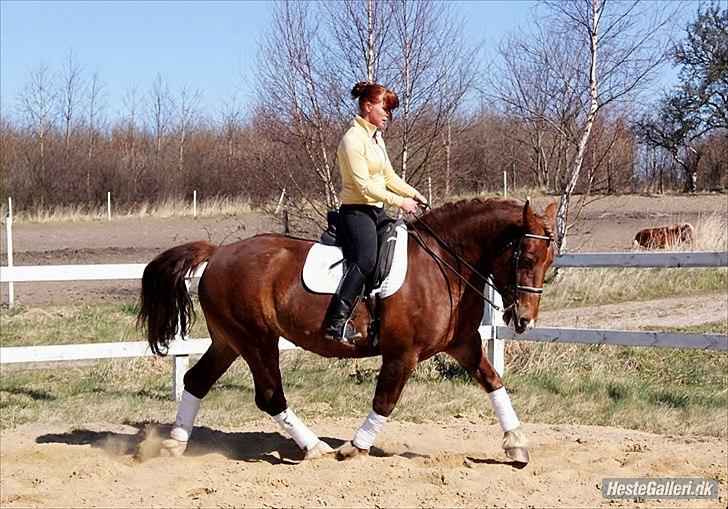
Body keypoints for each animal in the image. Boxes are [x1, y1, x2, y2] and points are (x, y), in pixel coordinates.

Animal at [138, 198, 556, 464]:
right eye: (526, 258)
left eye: (550, 260)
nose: (524, 321)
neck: (444, 266)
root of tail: (219, 253)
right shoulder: (402, 353)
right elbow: (385, 401)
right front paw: (355, 447)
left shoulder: (464, 344)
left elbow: (493, 382)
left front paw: (516, 444)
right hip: (256, 339)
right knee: (270, 396)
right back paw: (315, 448)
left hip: (229, 340)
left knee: (196, 381)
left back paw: (174, 444)